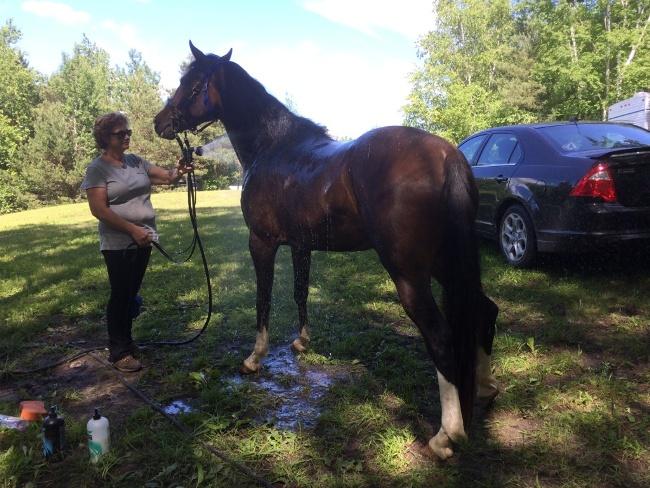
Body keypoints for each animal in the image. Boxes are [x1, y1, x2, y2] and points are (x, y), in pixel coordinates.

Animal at [154, 41, 498, 458]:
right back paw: (483, 390)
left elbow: (263, 299)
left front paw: (254, 358)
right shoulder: (301, 246)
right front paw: (302, 341)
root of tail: (448, 157)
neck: (274, 147)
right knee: (482, 311)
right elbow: (300, 293)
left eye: (191, 84)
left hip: (410, 275)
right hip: (445, 265)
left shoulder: (262, 243)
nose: (160, 123)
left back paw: (446, 436)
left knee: (442, 338)